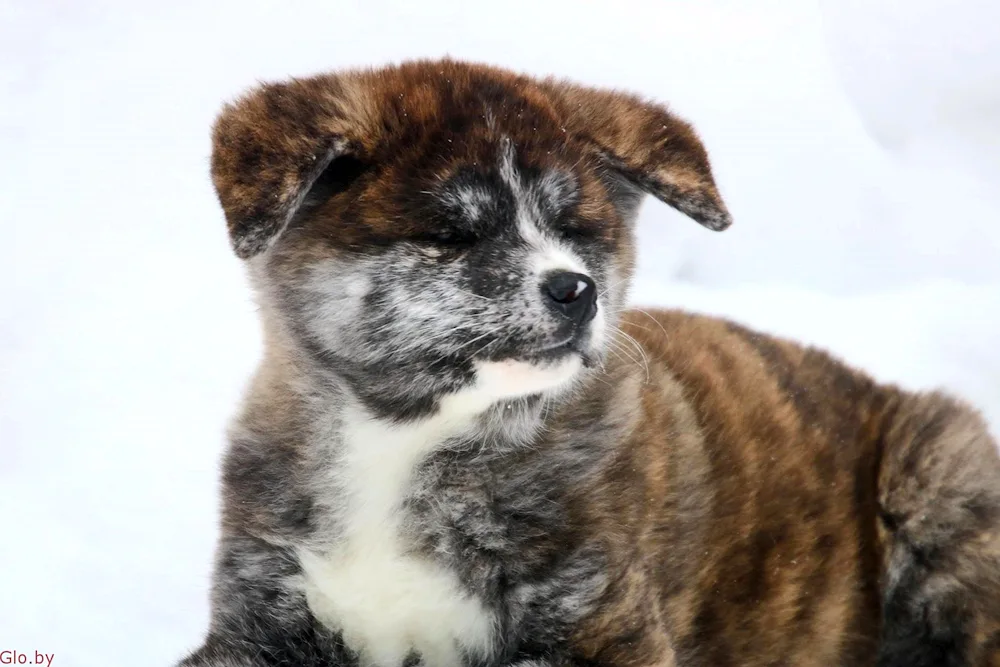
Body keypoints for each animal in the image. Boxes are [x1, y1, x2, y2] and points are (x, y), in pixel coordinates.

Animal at [182, 60, 1000, 664]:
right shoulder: (260, 611)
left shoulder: (601, 621)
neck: (405, 439)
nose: (576, 291)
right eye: (451, 234)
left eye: (574, 229)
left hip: (941, 465)